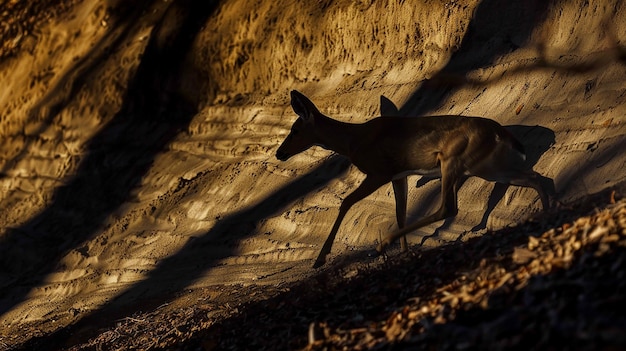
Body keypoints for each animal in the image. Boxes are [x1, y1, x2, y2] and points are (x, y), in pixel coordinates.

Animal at [276, 91, 548, 270]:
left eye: (295, 130)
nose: (280, 153)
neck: (354, 141)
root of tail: (503, 133)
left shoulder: (379, 171)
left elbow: (346, 202)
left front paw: (320, 258)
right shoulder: (400, 175)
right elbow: (400, 213)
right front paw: (405, 252)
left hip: (454, 161)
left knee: (448, 207)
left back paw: (382, 244)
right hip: (485, 166)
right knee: (536, 177)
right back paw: (549, 211)